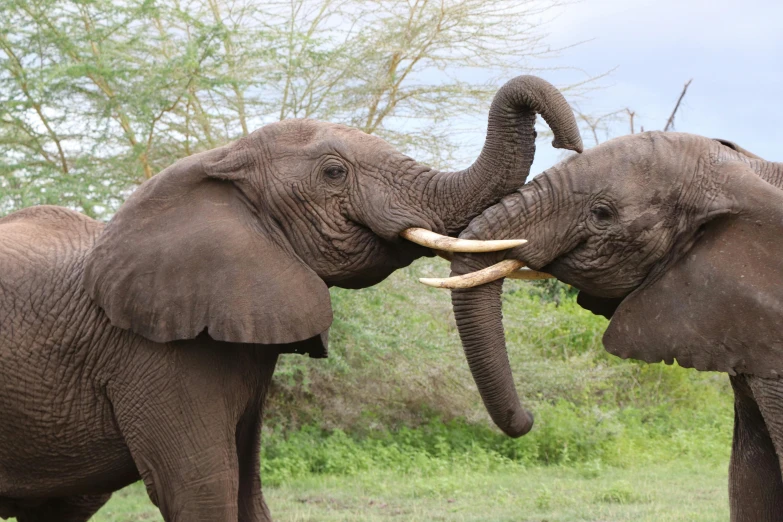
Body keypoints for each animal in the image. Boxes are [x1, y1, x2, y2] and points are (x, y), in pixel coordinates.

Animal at [0, 74, 584, 520]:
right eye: (334, 172)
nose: (571, 145)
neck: (219, 160)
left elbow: (248, 493)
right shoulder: (151, 356)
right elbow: (200, 492)